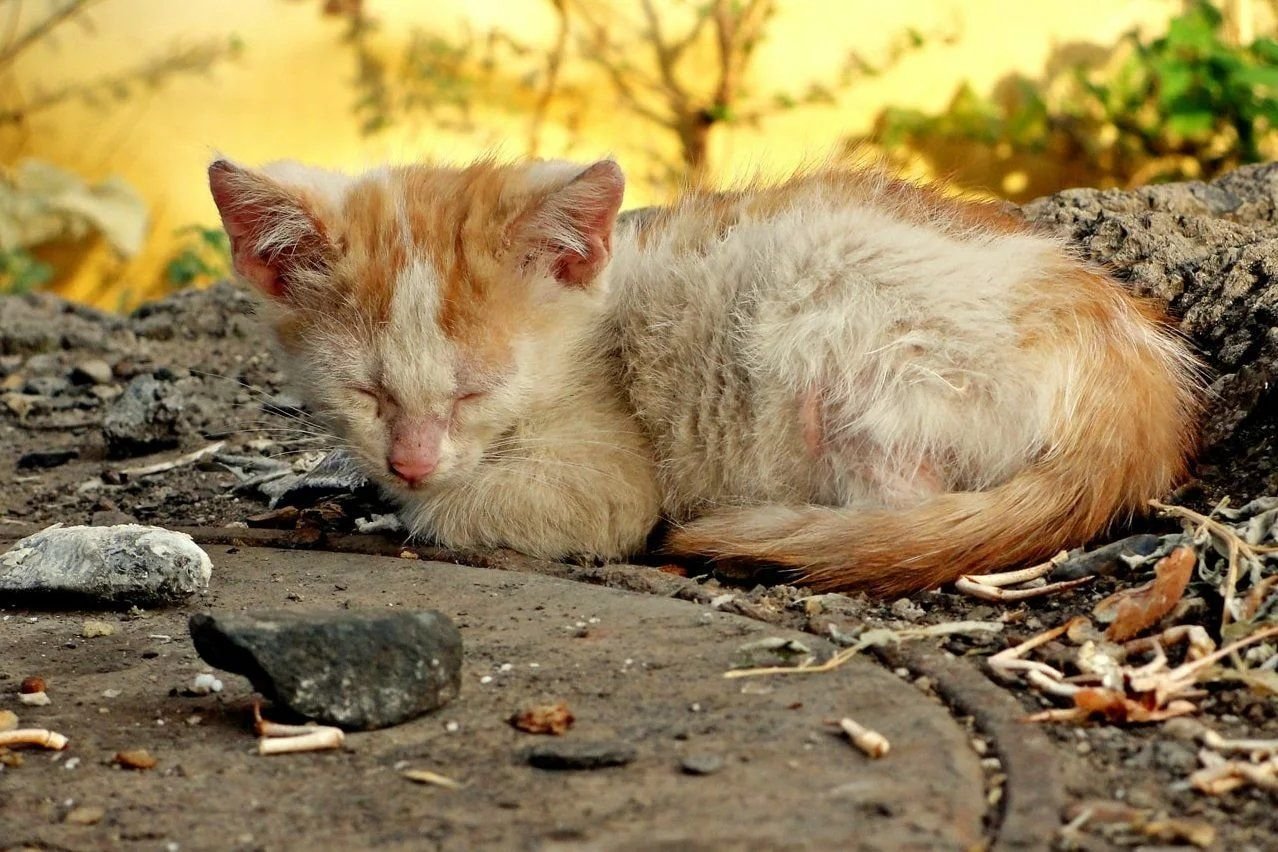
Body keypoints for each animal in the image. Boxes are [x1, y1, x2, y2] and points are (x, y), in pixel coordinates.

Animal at [207, 156, 1196, 597]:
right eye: (365, 393)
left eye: (475, 390)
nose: (409, 460)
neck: (592, 330)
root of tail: (1130, 376)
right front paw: (353, 481)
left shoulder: (606, 476)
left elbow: (472, 506)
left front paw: (399, 508)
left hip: (825, 314)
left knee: (898, 508)